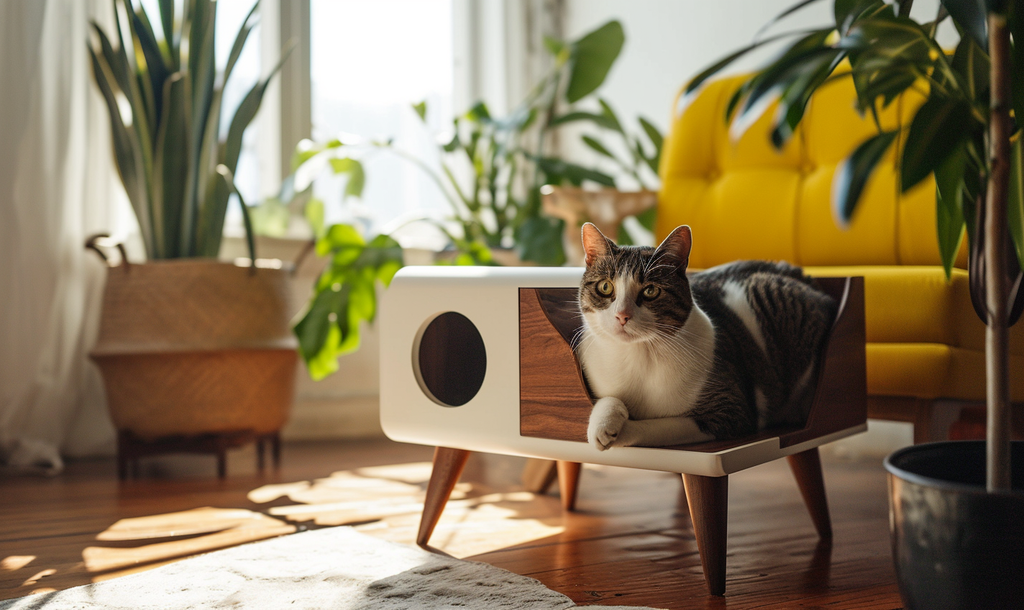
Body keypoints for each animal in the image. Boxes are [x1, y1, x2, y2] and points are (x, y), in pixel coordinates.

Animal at [573, 222, 835, 450]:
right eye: (605, 287)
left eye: (650, 291)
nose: (622, 315)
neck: (638, 356)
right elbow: (608, 399)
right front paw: (603, 424)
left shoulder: (730, 410)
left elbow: (654, 427)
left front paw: (619, 431)